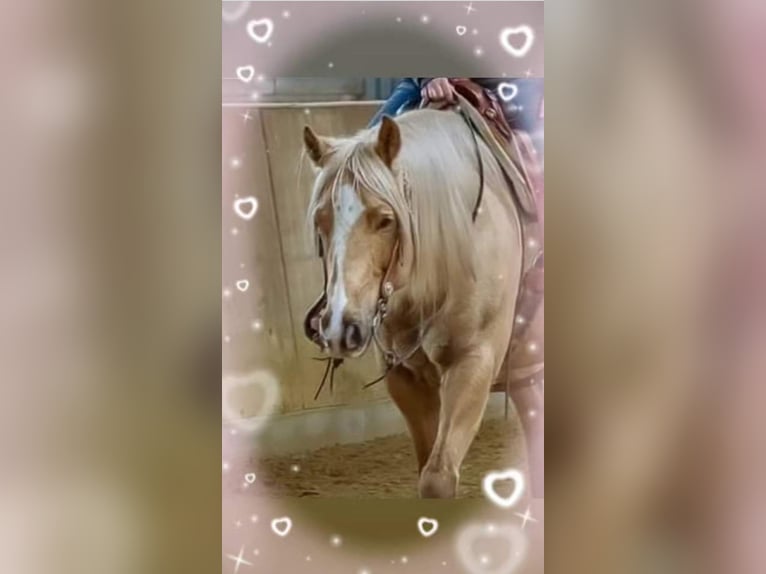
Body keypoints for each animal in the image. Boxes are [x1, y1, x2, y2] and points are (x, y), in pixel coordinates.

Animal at [302, 108, 535, 498]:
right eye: (321, 220)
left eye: (385, 220)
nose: (339, 328)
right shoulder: (406, 378)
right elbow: (425, 464)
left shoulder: (472, 362)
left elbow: (437, 478)